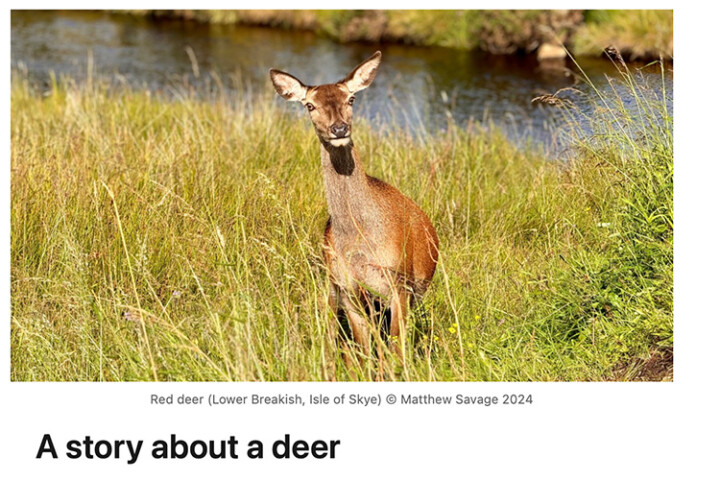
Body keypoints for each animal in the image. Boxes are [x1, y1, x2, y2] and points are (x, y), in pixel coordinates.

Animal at [269, 51, 438, 366]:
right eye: (309, 105)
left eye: (351, 99)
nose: (339, 129)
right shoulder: (348, 289)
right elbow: (363, 352)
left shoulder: (399, 283)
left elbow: (395, 352)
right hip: (336, 289)